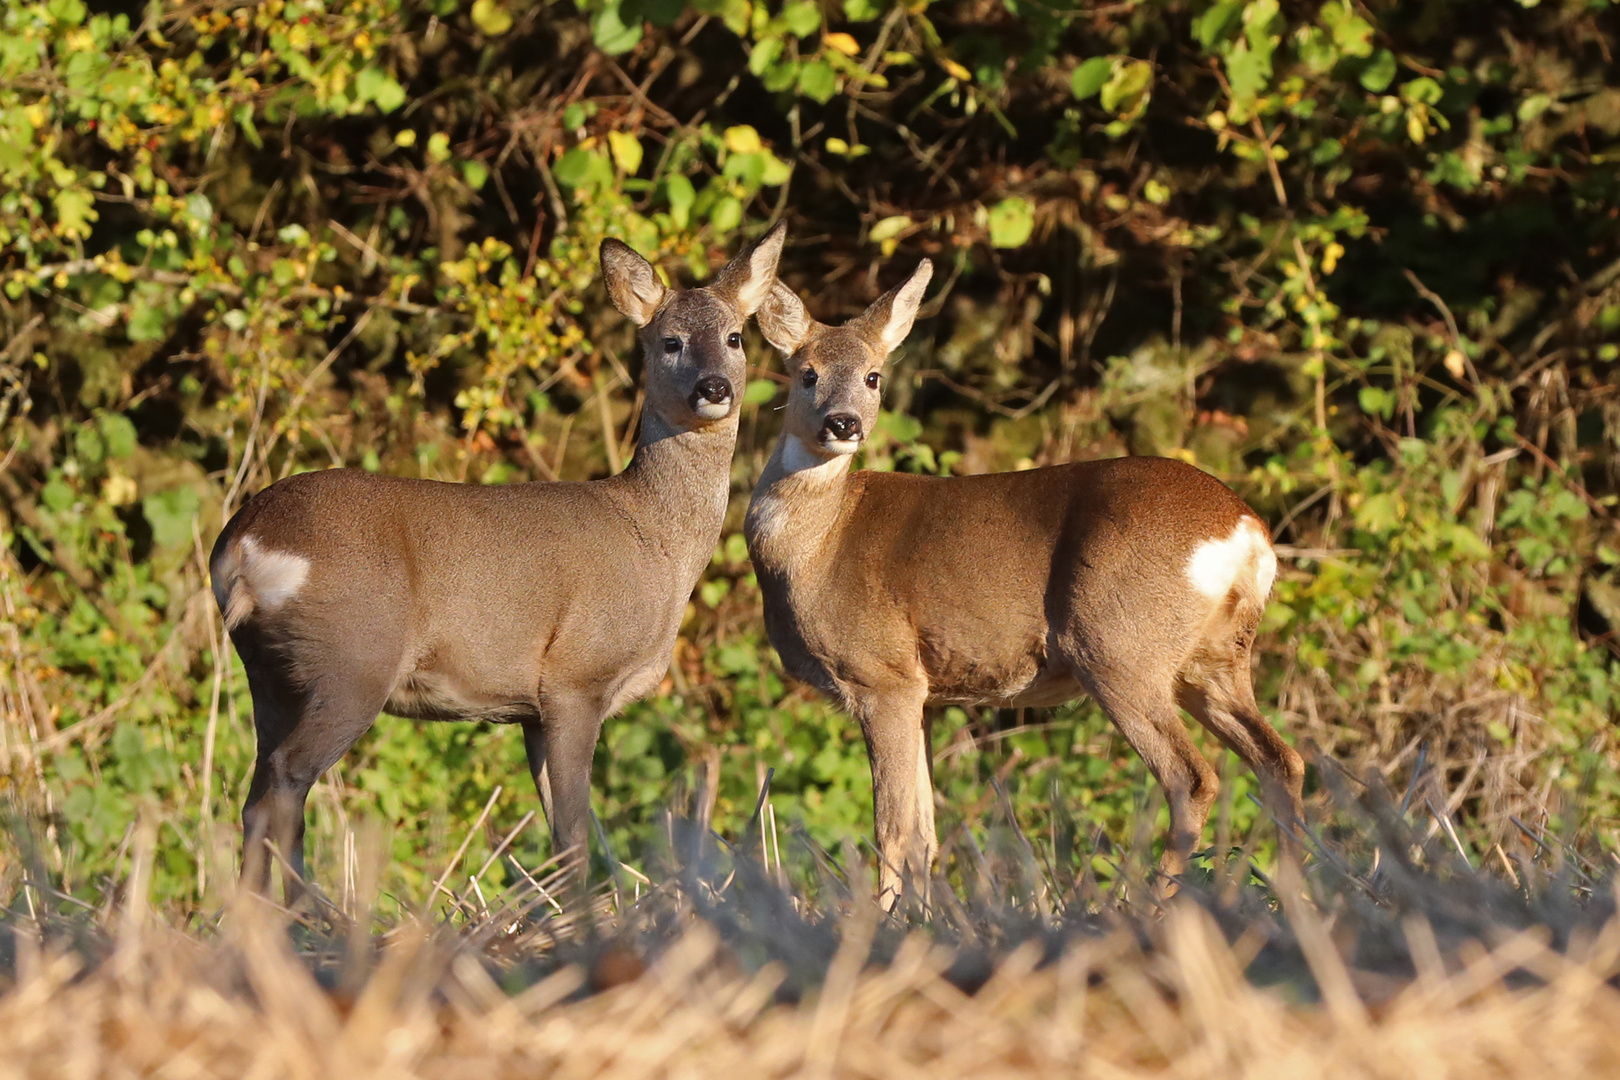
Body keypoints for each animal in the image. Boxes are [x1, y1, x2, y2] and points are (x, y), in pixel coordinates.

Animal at [208, 221, 790, 893]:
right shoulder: (575, 676)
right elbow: (574, 837)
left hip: (270, 676)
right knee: (283, 787)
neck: (655, 540)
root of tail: (241, 544)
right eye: (669, 341)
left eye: (734, 336)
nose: (714, 388)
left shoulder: (531, 711)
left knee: (262, 797)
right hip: (352, 660)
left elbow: (562, 835)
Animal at [745, 262, 1302, 906]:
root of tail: (1246, 530)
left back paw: (1151, 904)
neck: (818, 545)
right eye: (806, 373)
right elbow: (926, 834)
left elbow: (891, 828)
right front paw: (922, 918)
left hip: (1117, 645)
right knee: (1282, 761)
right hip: (1211, 659)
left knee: (1193, 777)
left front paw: (880, 919)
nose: (844, 423)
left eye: (873, 376)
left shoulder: (881, 674)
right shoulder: (924, 693)